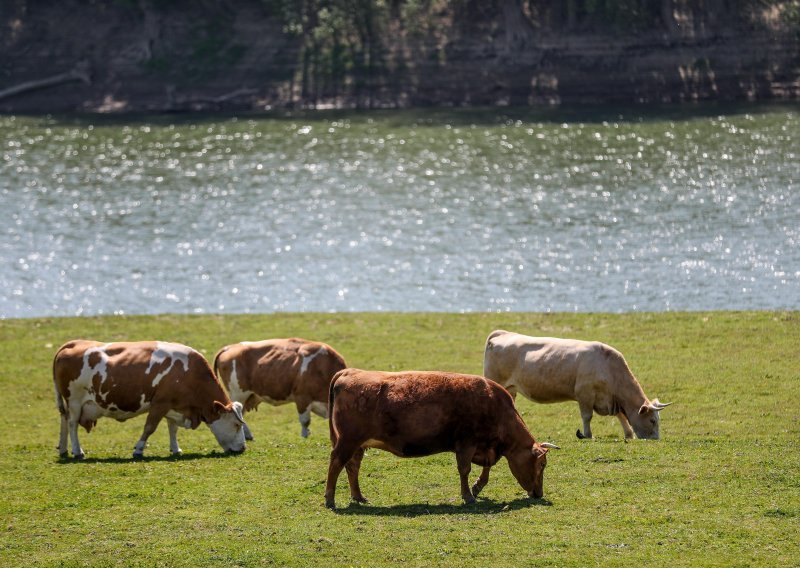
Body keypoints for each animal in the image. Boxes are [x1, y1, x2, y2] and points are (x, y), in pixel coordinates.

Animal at [53, 340, 247, 460]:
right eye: (237, 424)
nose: (243, 448)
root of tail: (74, 343)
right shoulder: (160, 403)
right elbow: (149, 428)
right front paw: (139, 449)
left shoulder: (174, 405)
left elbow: (173, 428)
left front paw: (175, 449)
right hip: (75, 401)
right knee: (72, 424)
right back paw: (78, 451)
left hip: (69, 404)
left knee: (64, 419)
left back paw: (63, 449)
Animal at [322, 368, 560, 510]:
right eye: (542, 464)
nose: (538, 494)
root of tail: (349, 372)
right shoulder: (466, 443)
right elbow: (465, 470)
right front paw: (468, 495)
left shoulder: (485, 446)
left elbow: (486, 469)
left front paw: (477, 487)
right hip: (348, 441)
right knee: (336, 464)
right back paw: (330, 498)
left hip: (358, 445)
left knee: (352, 467)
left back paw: (358, 497)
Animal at [484, 330, 672, 442]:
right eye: (652, 420)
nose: (656, 439)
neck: (608, 367)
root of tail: (501, 333)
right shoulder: (585, 394)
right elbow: (587, 416)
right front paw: (588, 435)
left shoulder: (611, 399)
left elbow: (621, 416)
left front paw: (629, 434)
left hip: (510, 389)